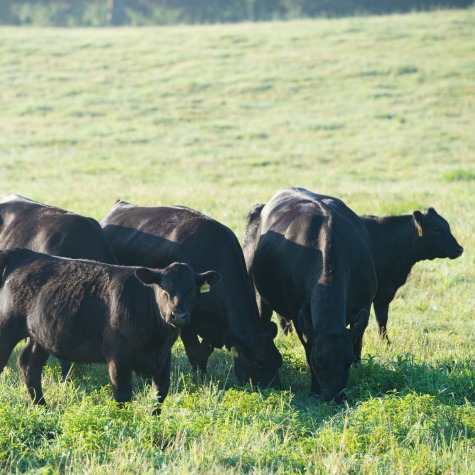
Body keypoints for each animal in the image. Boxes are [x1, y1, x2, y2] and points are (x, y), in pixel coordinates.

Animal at [0, 247, 220, 414]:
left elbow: (159, 394)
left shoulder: (163, 359)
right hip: (7, 326)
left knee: (29, 365)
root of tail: (27, 254)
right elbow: (123, 395)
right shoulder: (118, 357)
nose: (178, 315)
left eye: (192, 289)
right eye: (164, 289)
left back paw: (42, 408)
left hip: (39, 336)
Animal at [100, 202, 282, 390]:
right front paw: (200, 381)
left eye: (279, 361)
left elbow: (205, 351)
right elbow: (195, 352)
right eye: (258, 363)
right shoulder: (185, 320)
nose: (277, 389)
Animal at [244, 188, 378, 404]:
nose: (335, 397)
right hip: (260, 296)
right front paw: (315, 389)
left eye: (348, 362)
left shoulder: (364, 306)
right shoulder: (299, 314)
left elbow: (357, 342)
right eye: (319, 362)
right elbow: (308, 348)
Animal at [362, 207, 462, 342]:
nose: (459, 249)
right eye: (436, 230)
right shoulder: (381, 292)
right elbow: (381, 319)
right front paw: (386, 343)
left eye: (448, 226)